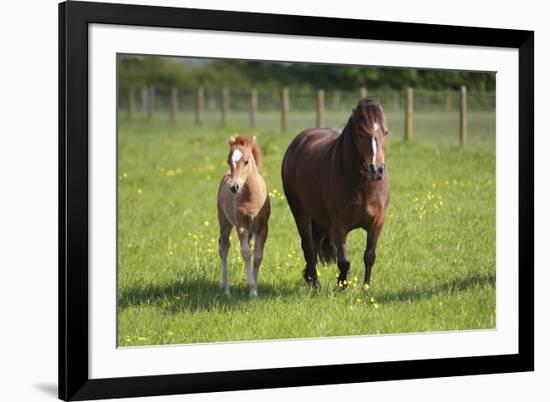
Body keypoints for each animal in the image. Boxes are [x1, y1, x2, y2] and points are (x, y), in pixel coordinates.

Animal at [217, 133, 270, 296]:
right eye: (228, 161)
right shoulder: (241, 226)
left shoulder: (263, 227)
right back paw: (226, 289)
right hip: (225, 223)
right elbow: (246, 253)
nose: (234, 187)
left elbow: (258, 256)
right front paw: (252, 290)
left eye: (246, 161)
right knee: (223, 248)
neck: (252, 198)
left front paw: (255, 286)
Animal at [282, 99, 390, 290]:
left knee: (314, 244)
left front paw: (365, 288)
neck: (364, 185)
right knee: (308, 246)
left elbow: (369, 256)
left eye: (385, 132)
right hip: (301, 212)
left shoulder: (377, 223)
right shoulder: (339, 226)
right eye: (361, 133)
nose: (377, 170)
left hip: (321, 219)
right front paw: (341, 286)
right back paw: (315, 283)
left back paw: (309, 277)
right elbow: (344, 261)